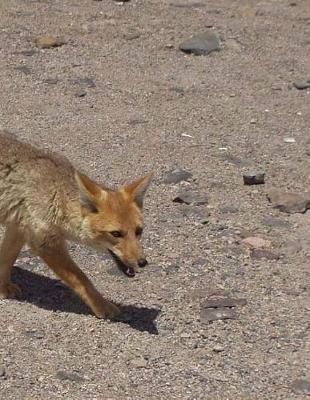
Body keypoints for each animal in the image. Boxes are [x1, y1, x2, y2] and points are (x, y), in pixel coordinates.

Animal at [0, 131, 153, 318]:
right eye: (116, 234)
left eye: (139, 231)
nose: (142, 262)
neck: (54, 193)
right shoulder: (45, 243)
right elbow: (81, 279)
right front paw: (102, 306)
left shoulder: (18, 228)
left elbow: (6, 259)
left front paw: (3, 288)